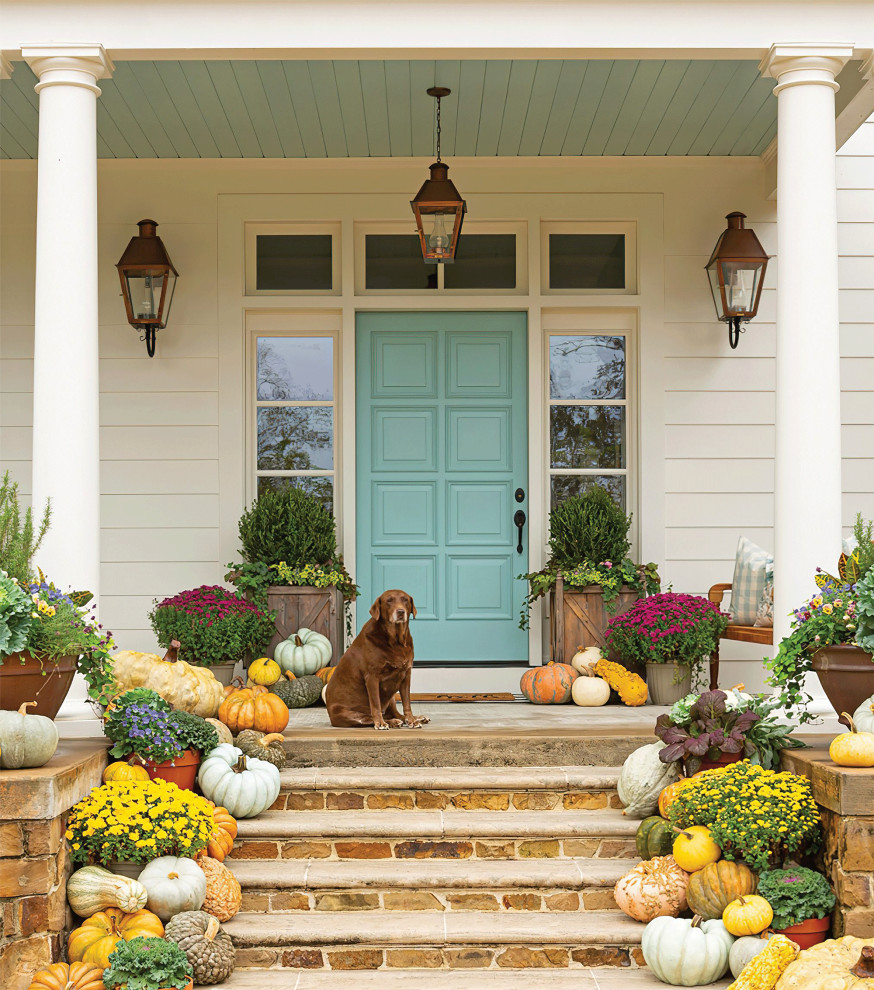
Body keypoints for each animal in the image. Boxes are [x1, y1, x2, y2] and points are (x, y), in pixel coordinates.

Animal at [324, 588, 430, 728]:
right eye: (389, 600)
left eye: (405, 600)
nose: (401, 612)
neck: (396, 641)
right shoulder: (372, 677)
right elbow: (375, 704)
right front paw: (380, 723)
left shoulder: (406, 674)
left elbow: (407, 702)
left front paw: (412, 720)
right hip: (348, 714)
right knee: (369, 718)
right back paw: (390, 722)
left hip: (391, 699)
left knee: (395, 714)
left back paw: (416, 718)